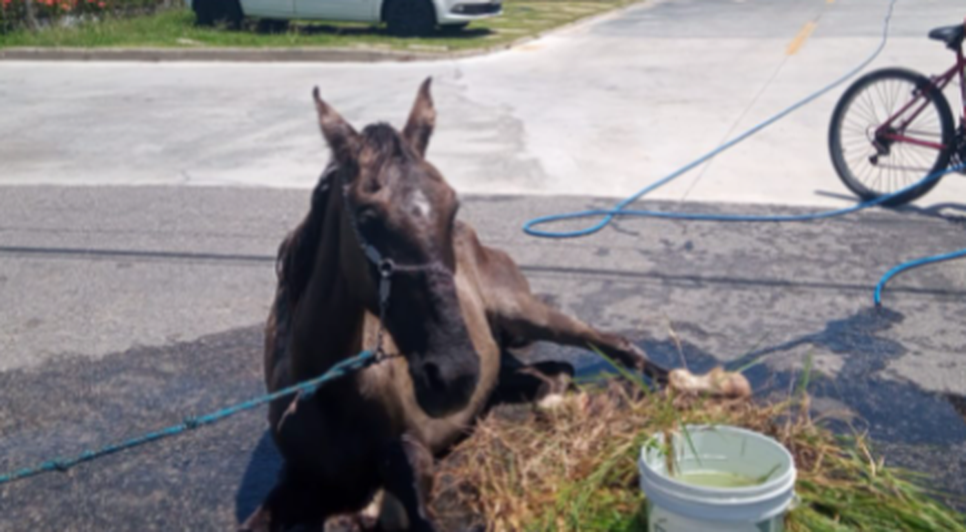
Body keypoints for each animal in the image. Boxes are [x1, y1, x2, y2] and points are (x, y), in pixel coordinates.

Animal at [240, 78, 669, 532]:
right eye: (367, 215)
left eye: (452, 204)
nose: (452, 376)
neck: (328, 388)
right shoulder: (296, 477)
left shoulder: (413, 450)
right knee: (552, 371)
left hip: (525, 313)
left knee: (612, 343)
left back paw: (675, 385)